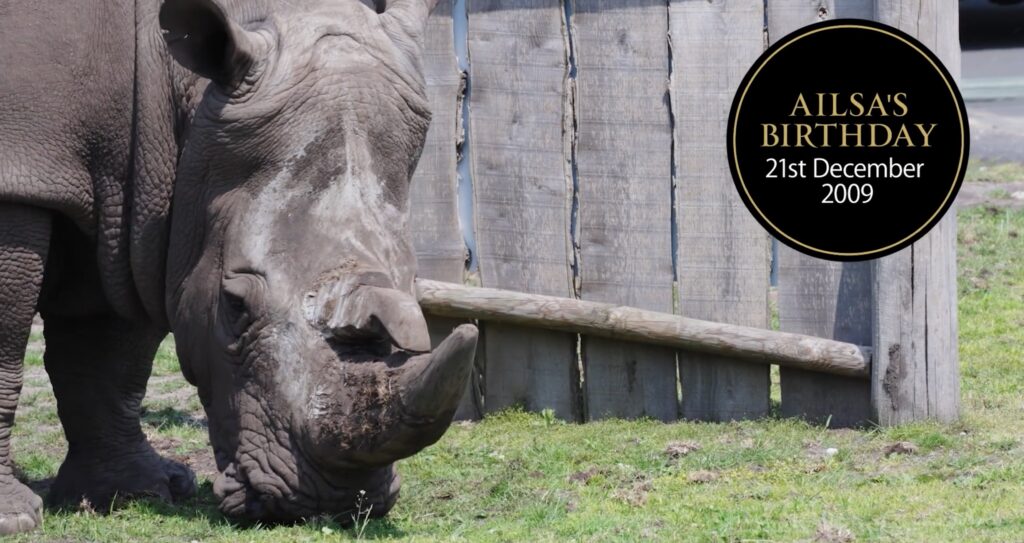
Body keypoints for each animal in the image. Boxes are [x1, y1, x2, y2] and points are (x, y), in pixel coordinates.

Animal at [0, 0, 477, 533]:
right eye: (235, 305)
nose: (331, 504)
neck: (178, 85)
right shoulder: (23, 171)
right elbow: (8, 343)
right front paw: (15, 521)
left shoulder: (137, 205)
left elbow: (111, 355)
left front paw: (133, 493)